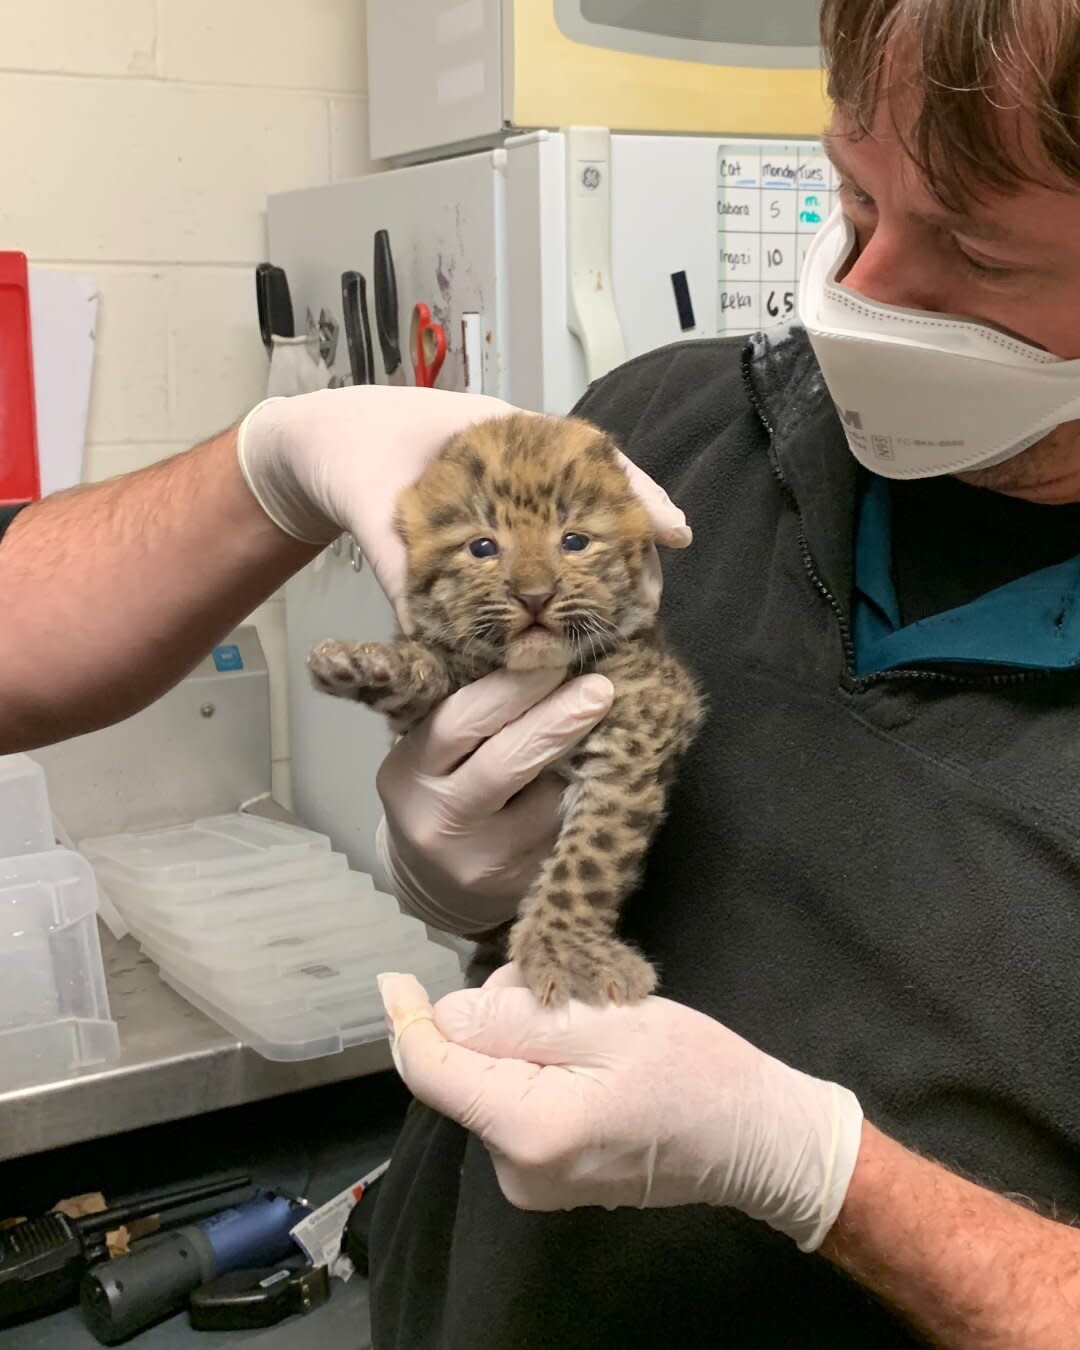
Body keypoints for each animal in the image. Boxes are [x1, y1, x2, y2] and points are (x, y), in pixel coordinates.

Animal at [307, 415, 702, 1009]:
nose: (534, 595)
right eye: (483, 547)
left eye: (574, 541)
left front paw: (564, 947)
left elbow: (590, 857)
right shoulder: (432, 718)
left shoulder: (638, 730)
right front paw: (370, 664)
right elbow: (429, 671)